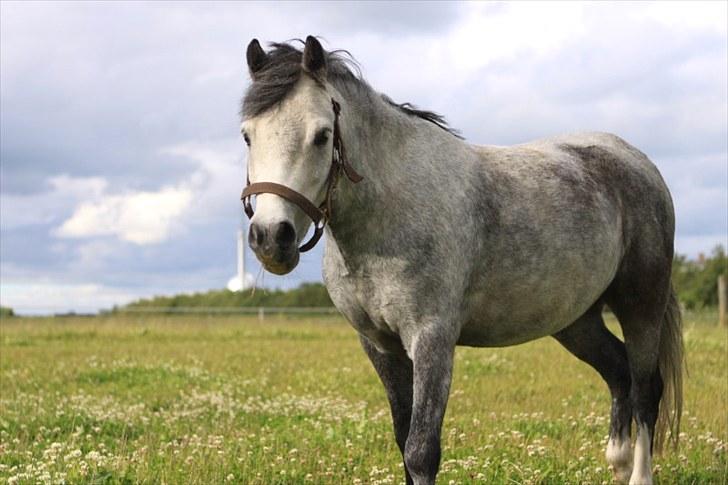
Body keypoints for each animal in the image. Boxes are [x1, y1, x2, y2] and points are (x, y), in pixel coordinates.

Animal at [239, 36, 683, 485]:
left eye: (322, 135)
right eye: (247, 136)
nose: (271, 237)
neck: (392, 208)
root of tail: (638, 162)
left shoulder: (432, 340)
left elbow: (421, 450)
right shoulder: (381, 346)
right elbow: (403, 440)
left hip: (641, 305)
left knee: (646, 389)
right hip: (577, 321)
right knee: (619, 374)